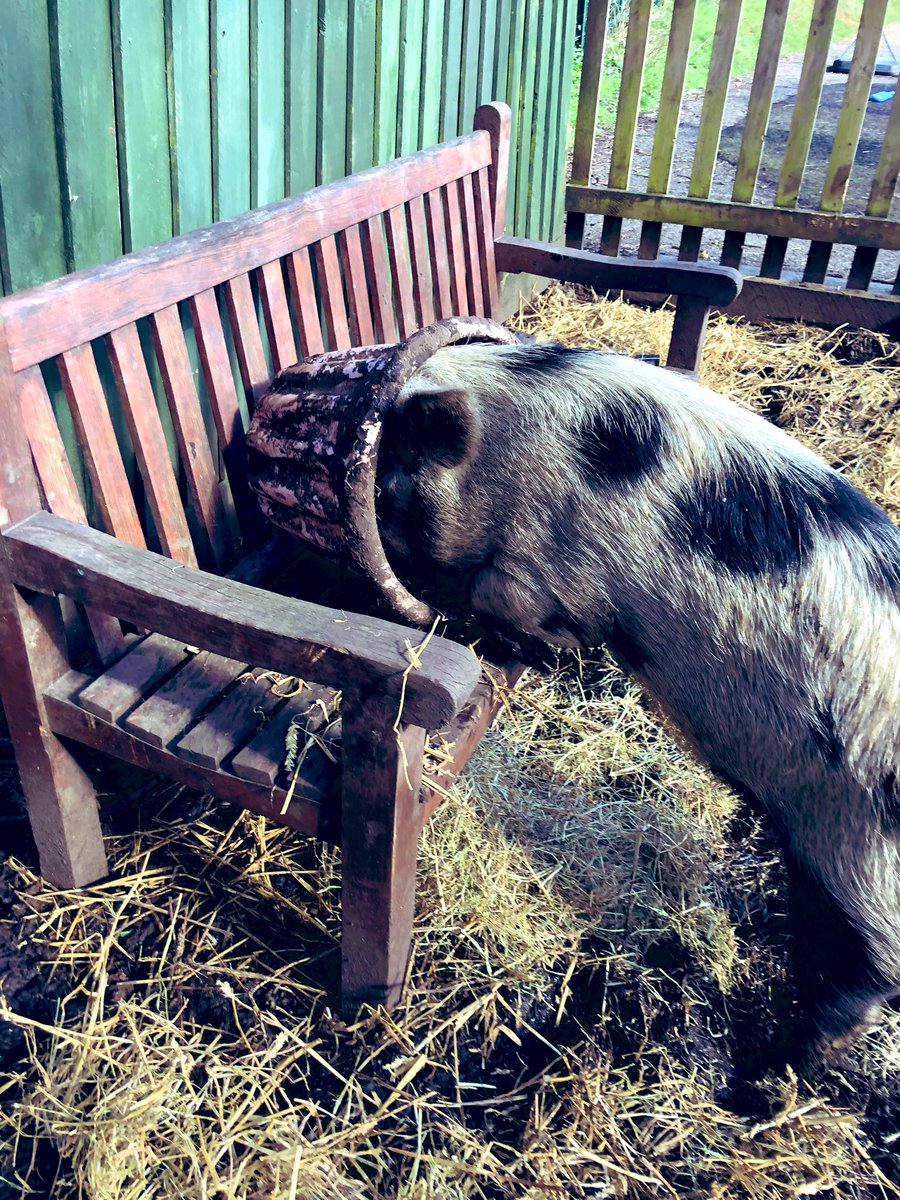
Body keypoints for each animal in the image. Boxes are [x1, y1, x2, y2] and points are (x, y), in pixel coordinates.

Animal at [375, 340, 900, 1066]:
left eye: (395, 469)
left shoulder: (545, 568)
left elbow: (513, 602)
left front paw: (535, 646)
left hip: (854, 850)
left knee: (859, 975)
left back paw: (773, 1064)